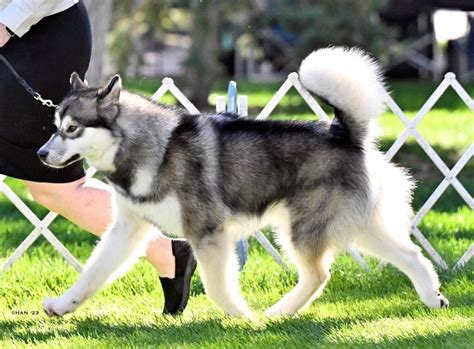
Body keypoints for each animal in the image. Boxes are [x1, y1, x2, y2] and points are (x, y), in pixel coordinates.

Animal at [38, 47, 448, 316]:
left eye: (72, 129)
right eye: (54, 126)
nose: (40, 155)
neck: (151, 147)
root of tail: (343, 132)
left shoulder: (208, 233)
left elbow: (218, 287)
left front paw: (240, 317)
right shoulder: (127, 228)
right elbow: (92, 273)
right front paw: (63, 305)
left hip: (303, 230)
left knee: (318, 274)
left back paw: (277, 313)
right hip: (355, 225)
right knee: (411, 255)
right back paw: (432, 297)